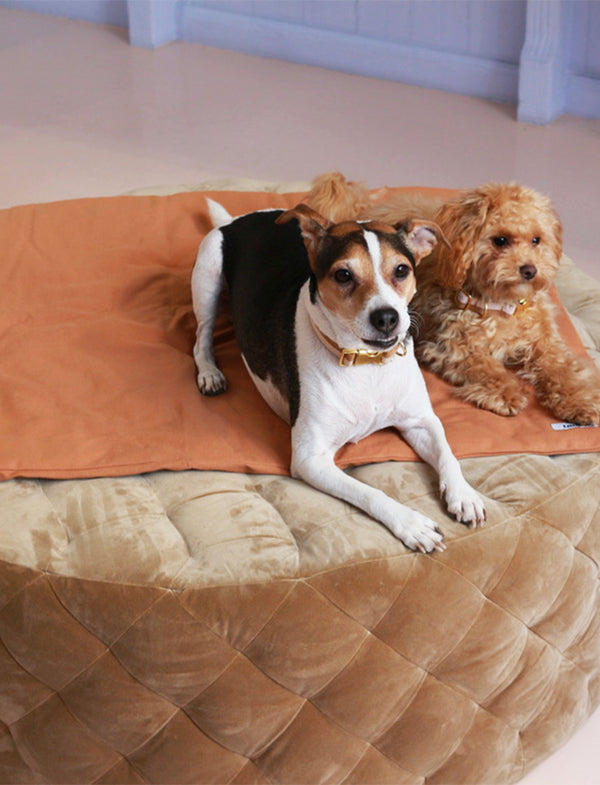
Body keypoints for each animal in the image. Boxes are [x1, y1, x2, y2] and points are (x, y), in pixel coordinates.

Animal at [193, 202, 488, 552]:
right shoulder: (310, 458)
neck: (367, 364)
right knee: (201, 336)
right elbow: (369, 492)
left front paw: (464, 494)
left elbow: (448, 454)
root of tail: (236, 220)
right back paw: (210, 373)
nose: (387, 317)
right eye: (343, 275)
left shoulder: (421, 421)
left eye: (402, 270)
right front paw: (411, 523)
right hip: (208, 275)